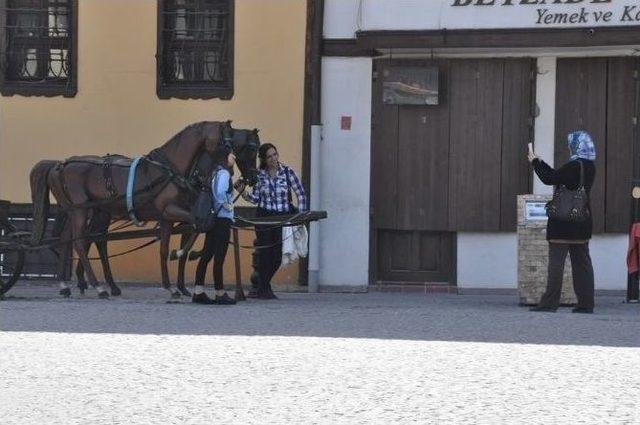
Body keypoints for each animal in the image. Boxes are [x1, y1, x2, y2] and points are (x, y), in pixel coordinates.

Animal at [29, 120, 260, 298]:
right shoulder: (171, 211)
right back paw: (97, 286)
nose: (252, 178)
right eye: (227, 143)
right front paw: (182, 263)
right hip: (81, 211)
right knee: (79, 242)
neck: (173, 170)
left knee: (79, 239)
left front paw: (173, 285)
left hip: (86, 211)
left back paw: (71, 284)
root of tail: (60, 164)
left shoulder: (169, 217)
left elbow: (166, 247)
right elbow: (201, 225)